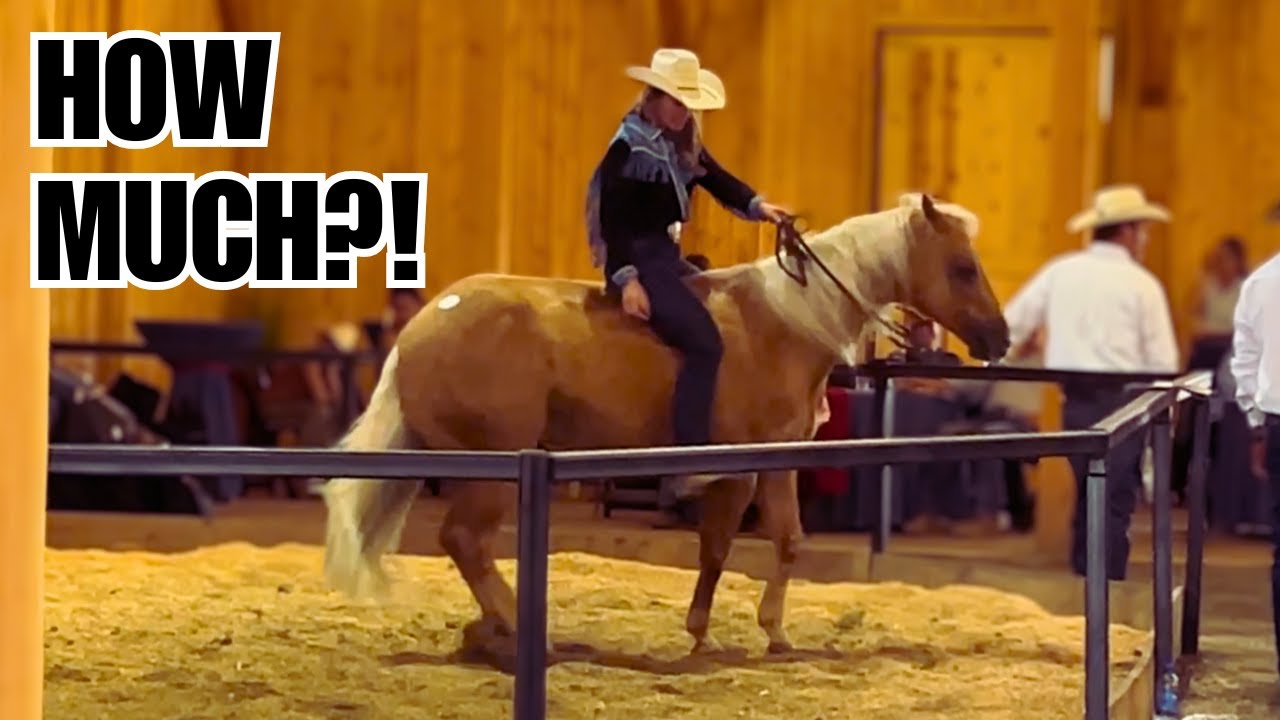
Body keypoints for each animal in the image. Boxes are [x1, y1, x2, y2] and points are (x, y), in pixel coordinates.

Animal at [320, 192, 1011, 656]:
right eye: (962, 267)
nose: (999, 339)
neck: (786, 321)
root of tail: (424, 323)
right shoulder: (742, 465)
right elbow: (733, 544)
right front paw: (718, 632)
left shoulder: (776, 459)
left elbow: (773, 542)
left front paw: (760, 631)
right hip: (490, 471)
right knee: (465, 540)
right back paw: (520, 629)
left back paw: (488, 629)